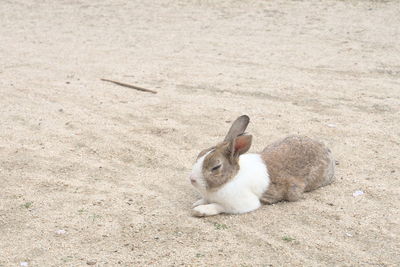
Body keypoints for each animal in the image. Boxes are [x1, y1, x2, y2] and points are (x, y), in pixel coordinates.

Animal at [188, 115, 334, 218]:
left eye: (216, 167)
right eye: (200, 154)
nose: (192, 179)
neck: (231, 178)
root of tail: (326, 149)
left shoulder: (242, 204)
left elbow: (219, 206)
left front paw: (200, 210)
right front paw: (198, 203)